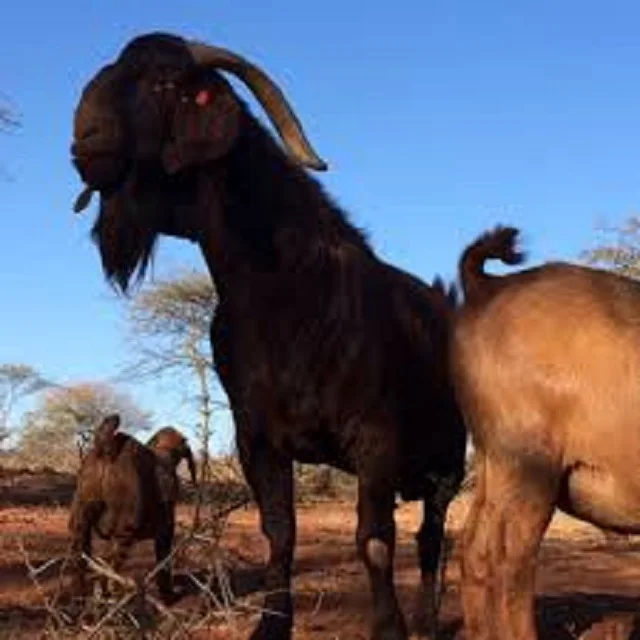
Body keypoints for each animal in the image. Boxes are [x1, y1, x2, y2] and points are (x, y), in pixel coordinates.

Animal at [68, 414, 197, 599]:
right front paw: (170, 596)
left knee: (80, 548)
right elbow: (164, 551)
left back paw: (80, 598)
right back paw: (111, 596)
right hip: (127, 518)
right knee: (113, 559)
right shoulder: (166, 520)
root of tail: (105, 449)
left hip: (82, 497)